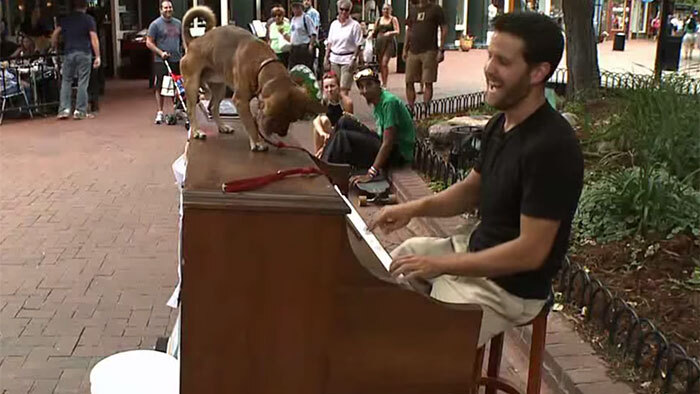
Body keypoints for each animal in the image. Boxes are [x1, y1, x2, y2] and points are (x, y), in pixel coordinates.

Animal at [179, 6, 324, 151]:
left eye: (292, 120)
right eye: (276, 118)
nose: (283, 134)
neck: (262, 63)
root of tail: (193, 42)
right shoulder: (240, 101)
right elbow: (250, 123)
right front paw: (257, 141)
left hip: (219, 88)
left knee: (213, 108)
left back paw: (222, 126)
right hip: (192, 86)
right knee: (191, 110)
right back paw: (197, 131)